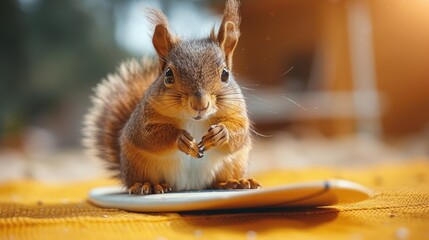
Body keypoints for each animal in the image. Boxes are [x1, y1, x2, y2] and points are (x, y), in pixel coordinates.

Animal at [82, 0, 260, 195]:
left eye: (225, 75)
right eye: (168, 75)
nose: (200, 104)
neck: (194, 120)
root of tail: (191, 186)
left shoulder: (237, 112)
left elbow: (240, 133)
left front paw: (221, 133)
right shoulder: (143, 120)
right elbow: (148, 135)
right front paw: (180, 138)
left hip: (233, 163)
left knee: (216, 182)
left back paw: (234, 182)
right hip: (138, 164)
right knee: (139, 179)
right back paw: (148, 185)